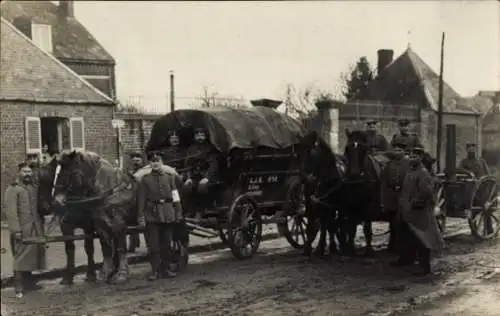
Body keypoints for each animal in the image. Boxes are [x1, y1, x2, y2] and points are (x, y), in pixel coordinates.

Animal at [38, 151, 137, 284]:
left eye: (72, 173)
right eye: (50, 176)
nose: (55, 203)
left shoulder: (115, 223)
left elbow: (117, 247)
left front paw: (121, 274)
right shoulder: (81, 225)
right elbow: (77, 248)